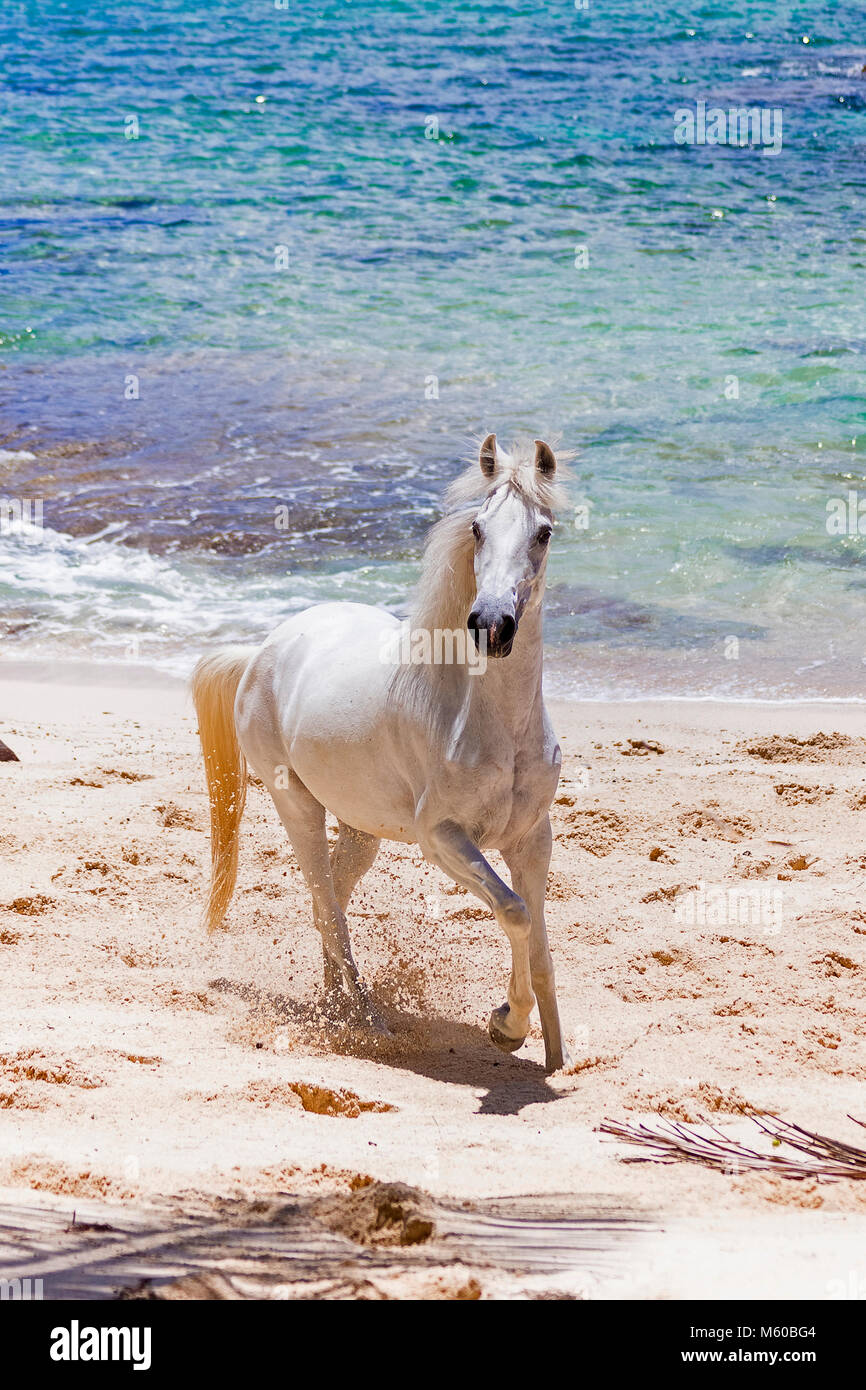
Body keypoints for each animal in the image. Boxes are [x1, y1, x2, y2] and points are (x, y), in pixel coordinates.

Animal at [195, 439, 572, 1067]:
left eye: (543, 533)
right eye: (477, 528)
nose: (491, 624)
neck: (484, 722)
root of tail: (261, 652)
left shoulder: (531, 837)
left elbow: (538, 937)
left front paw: (553, 1053)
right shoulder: (441, 837)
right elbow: (514, 912)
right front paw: (506, 1025)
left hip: (360, 829)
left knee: (330, 902)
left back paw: (335, 1005)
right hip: (296, 807)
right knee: (327, 907)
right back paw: (367, 1023)